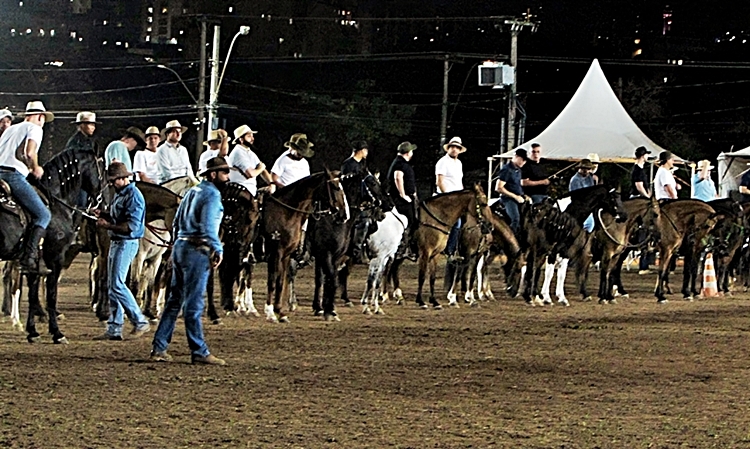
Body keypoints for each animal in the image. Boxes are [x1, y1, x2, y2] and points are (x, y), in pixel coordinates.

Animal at [0, 148, 104, 343]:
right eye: (103, 170)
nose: (100, 202)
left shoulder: (34, 264)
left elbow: (33, 294)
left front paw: (33, 332)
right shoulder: (55, 258)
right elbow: (51, 294)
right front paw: (57, 333)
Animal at [262, 171, 348, 323]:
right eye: (335, 187)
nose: (342, 215)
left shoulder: (331, 257)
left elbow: (325, 279)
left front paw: (327, 309)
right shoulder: (323, 254)